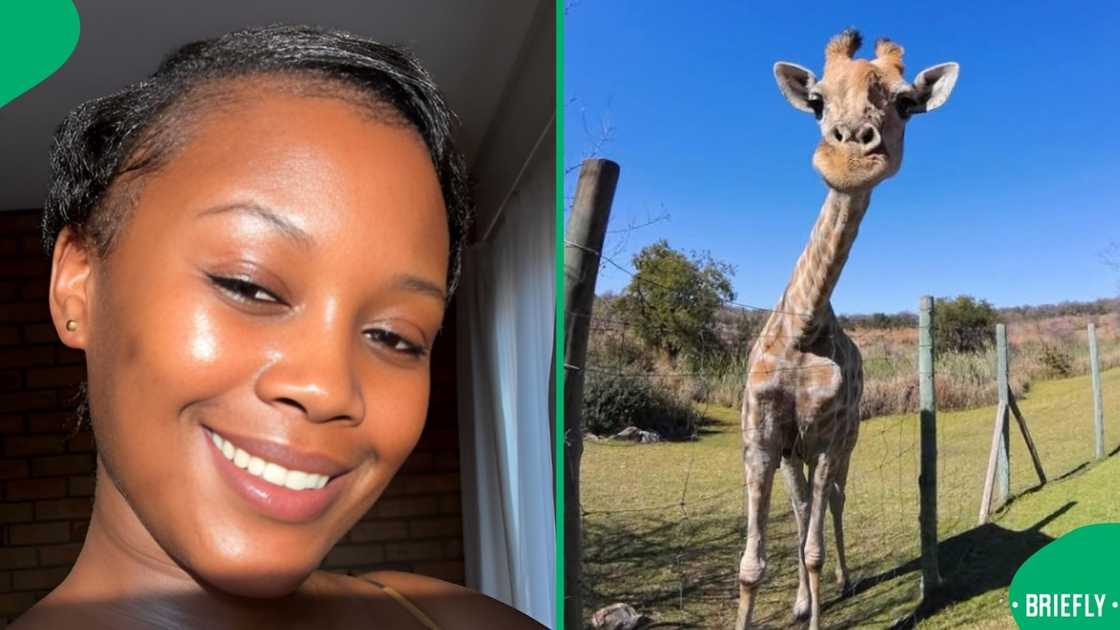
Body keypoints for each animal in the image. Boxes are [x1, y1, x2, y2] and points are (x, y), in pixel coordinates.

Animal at [735, 29, 958, 630]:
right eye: (816, 101)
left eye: (906, 102)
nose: (850, 153)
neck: (802, 330)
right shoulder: (761, 440)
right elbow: (750, 564)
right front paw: (794, 603)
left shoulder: (831, 437)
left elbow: (813, 544)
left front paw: (824, 591)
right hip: (796, 452)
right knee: (802, 505)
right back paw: (799, 601)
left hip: (844, 443)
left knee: (832, 501)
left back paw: (842, 578)